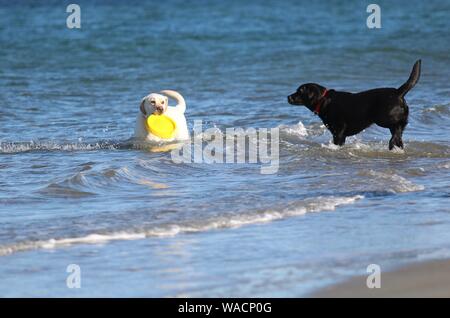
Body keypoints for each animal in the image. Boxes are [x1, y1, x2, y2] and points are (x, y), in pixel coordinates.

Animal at [288, 60, 422, 150]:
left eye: (299, 91)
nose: (288, 97)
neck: (323, 99)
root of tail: (398, 92)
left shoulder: (339, 131)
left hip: (383, 118)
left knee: (397, 129)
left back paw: (392, 141)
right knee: (399, 132)